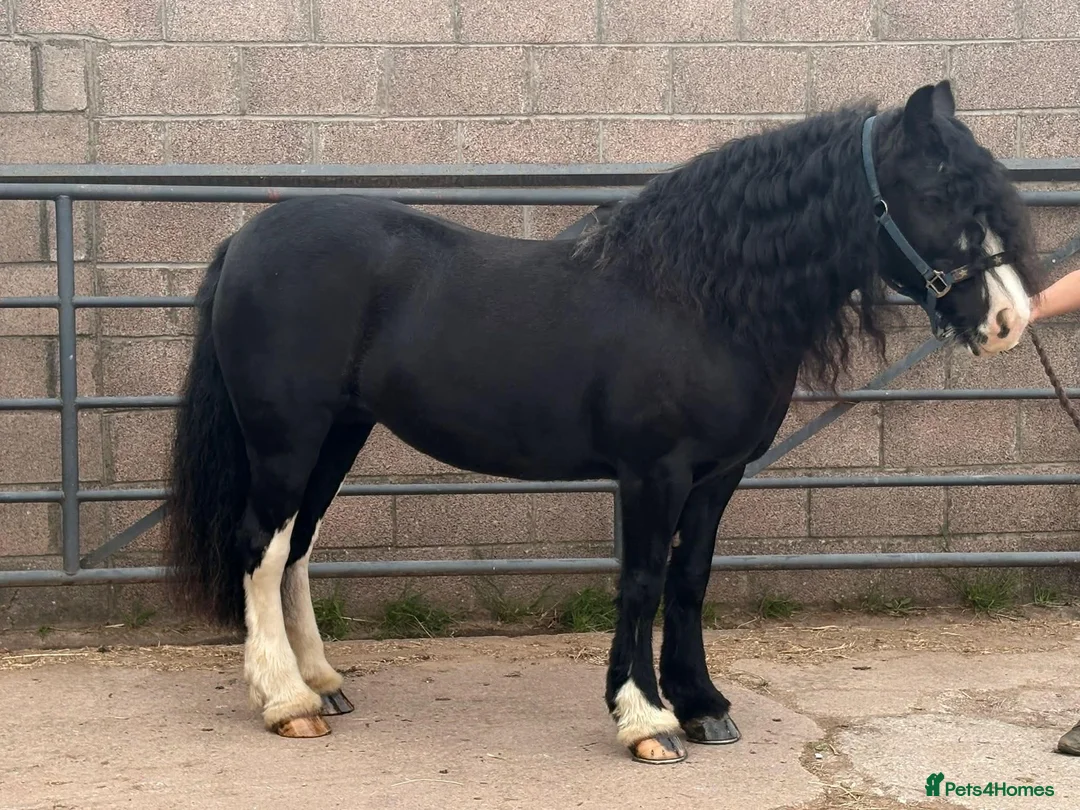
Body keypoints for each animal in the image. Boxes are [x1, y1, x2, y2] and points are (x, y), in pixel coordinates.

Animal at [162, 80, 1044, 765]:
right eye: (936, 194)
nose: (1009, 320)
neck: (700, 299)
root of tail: (247, 239)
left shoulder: (719, 475)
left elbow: (690, 580)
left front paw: (703, 704)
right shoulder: (655, 473)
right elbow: (644, 581)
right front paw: (647, 720)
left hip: (339, 434)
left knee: (298, 545)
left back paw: (323, 682)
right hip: (286, 437)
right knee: (261, 544)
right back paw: (286, 702)